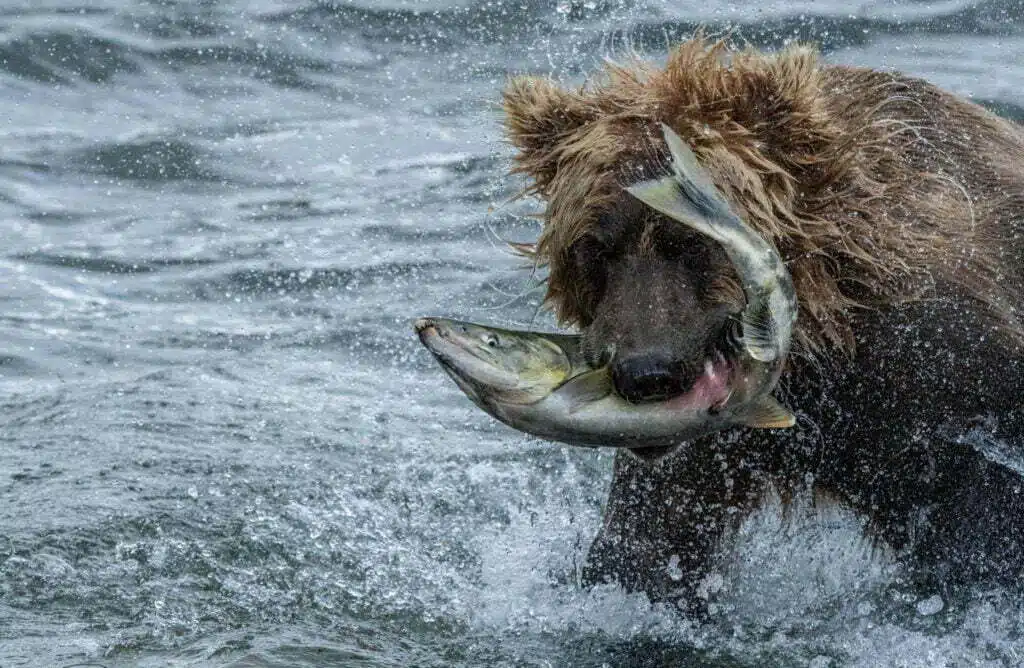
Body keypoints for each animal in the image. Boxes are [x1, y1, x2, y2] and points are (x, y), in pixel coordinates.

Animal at [501, 37, 1024, 609]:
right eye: (595, 249)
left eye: (693, 242)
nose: (645, 374)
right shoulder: (715, 436)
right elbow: (651, 543)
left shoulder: (947, 368)